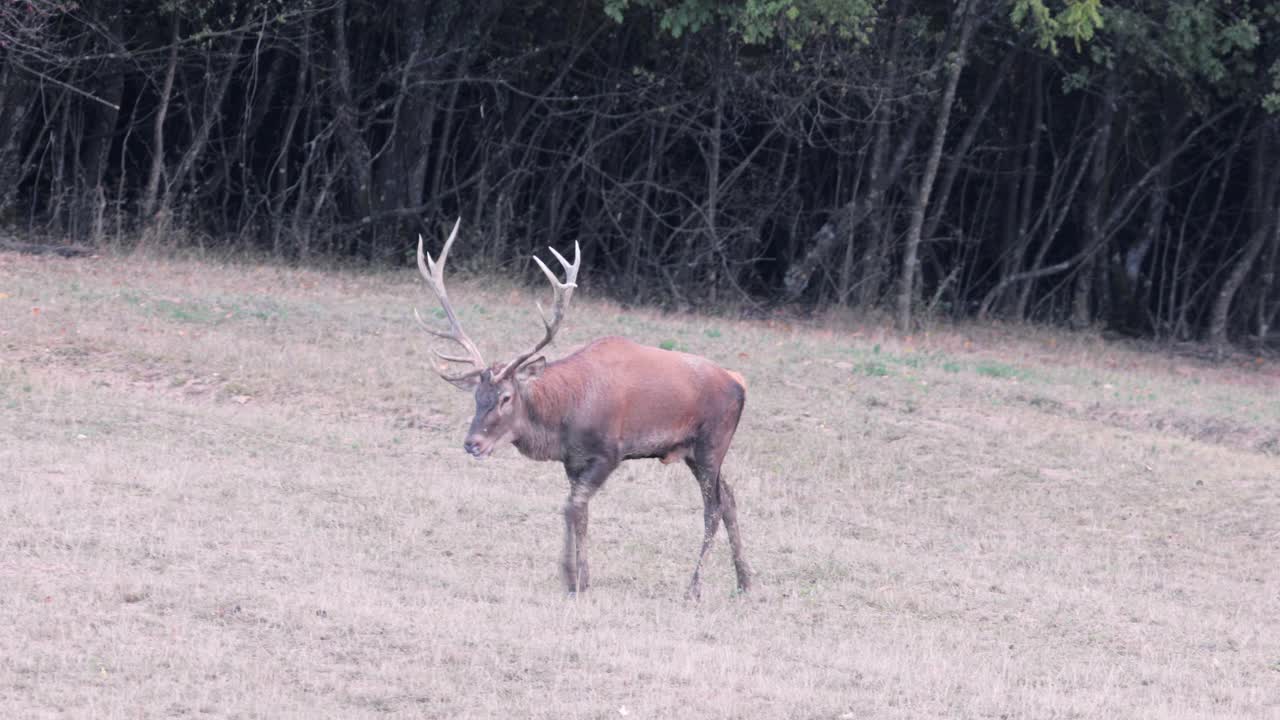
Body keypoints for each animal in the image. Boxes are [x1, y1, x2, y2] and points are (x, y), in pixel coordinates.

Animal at [412, 217, 747, 594]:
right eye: (476, 396)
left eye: (506, 397)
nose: (473, 443)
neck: (563, 422)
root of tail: (739, 381)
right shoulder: (573, 460)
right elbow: (574, 510)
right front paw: (574, 575)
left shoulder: (609, 453)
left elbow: (574, 507)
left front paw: (576, 579)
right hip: (696, 452)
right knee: (730, 498)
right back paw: (745, 581)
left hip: (711, 444)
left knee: (713, 508)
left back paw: (694, 588)